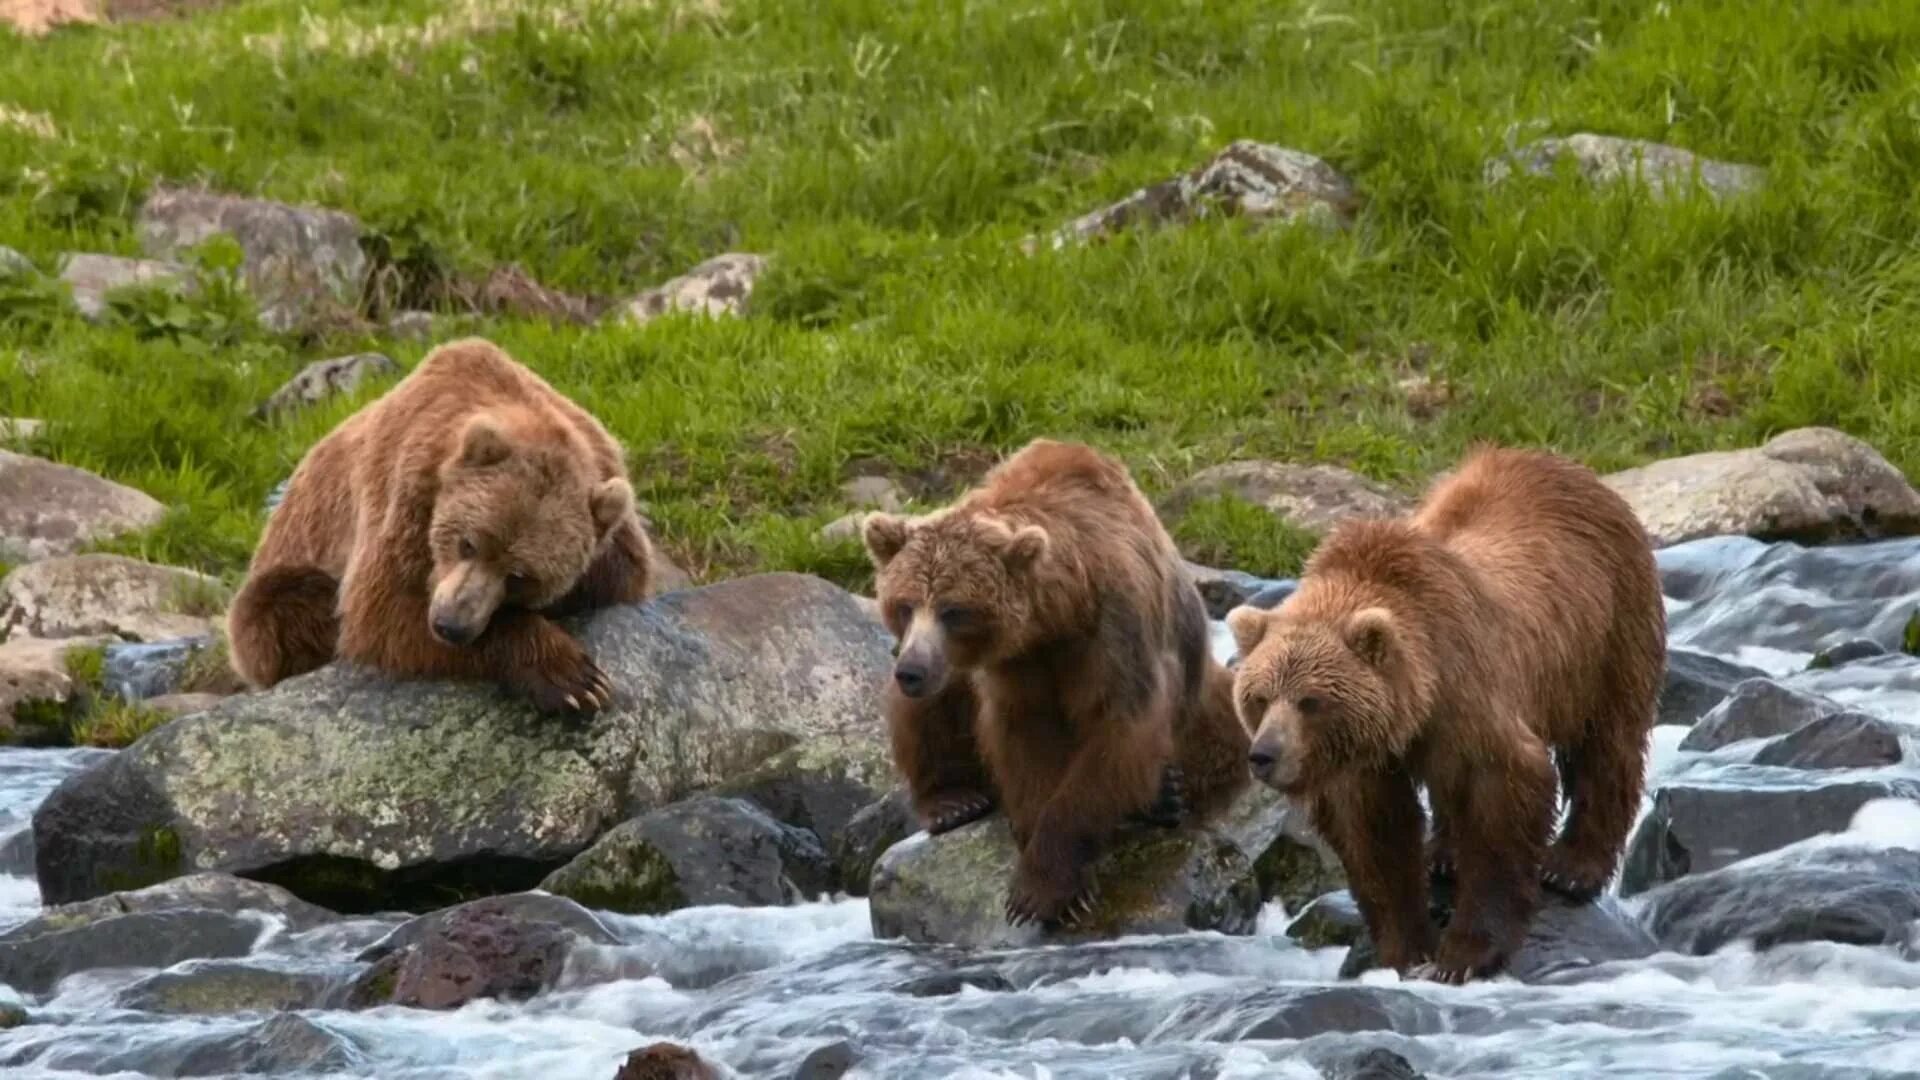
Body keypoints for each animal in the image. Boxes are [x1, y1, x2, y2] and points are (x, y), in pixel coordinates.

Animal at [226, 332, 652, 711]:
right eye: (468, 543)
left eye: (521, 576)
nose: (451, 624)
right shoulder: (403, 488)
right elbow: (383, 612)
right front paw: (574, 679)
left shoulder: (608, 485)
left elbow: (621, 574)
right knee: (285, 604)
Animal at [864, 438, 1251, 926]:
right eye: (903, 604)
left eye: (954, 610)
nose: (912, 669)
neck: (1059, 615)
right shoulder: (1016, 668)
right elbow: (1027, 742)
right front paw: (1042, 874)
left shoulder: (1114, 633)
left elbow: (1117, 733)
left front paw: (1045, 889)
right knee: (929, 709)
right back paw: (953, 800)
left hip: (1199, 703)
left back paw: (1168, 795)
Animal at [1228, 441, 1666, 980]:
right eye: (1259, 697)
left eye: (1311, 700)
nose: (1264, 754)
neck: (1414, 705)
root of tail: (1564, 465)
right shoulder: (1368, 759)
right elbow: (1375, 838)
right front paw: (1405, 946)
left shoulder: (1468, 695)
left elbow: (1502, 802)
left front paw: (1464, 954)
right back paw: (1443, 855)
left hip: (1608, 632)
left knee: (1607, 743)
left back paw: (1572, 866)